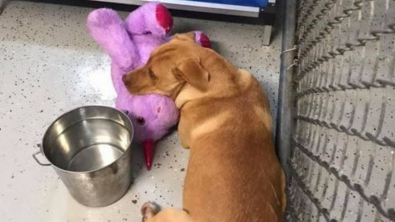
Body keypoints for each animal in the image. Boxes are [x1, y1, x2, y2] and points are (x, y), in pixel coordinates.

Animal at [122, 32, 286, 221]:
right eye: (148, 58)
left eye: (152, 74)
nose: (123, 78)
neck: (230, 87)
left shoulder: (184, 137)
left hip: (173, 214)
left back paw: (148, 211)